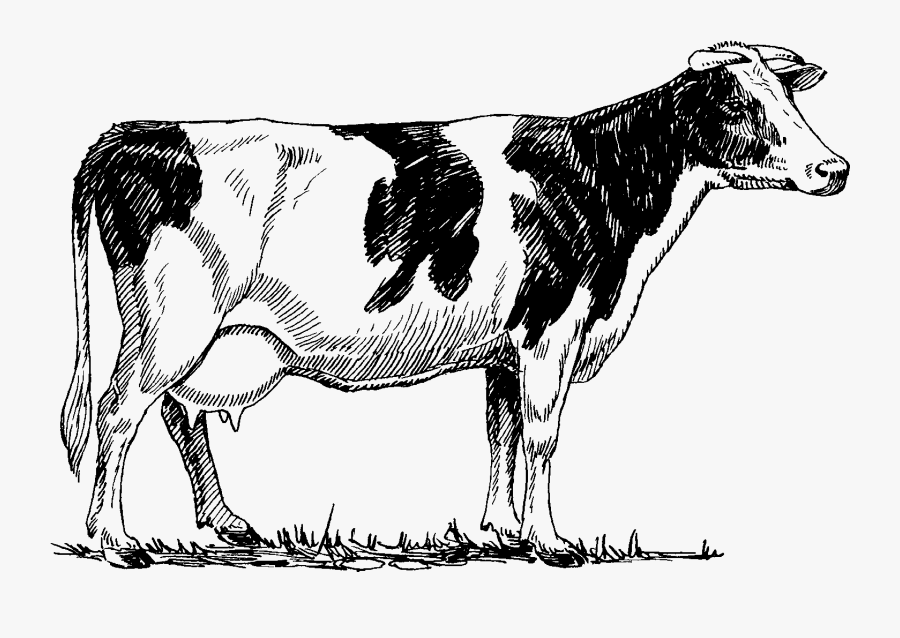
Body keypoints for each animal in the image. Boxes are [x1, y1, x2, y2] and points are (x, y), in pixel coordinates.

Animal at [61, 42, 848, 568]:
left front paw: (498, 532)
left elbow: (500, 433)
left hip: (208, 334)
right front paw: (552, 543)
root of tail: (135, 133)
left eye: (791, 100)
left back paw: (225, 523)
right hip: (172, 318)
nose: (834, 167)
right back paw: (117, 540)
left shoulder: (507, 347)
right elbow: (540, 437)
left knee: (177, 412)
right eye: (743, 106)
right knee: (119, 411)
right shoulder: (550, 330)